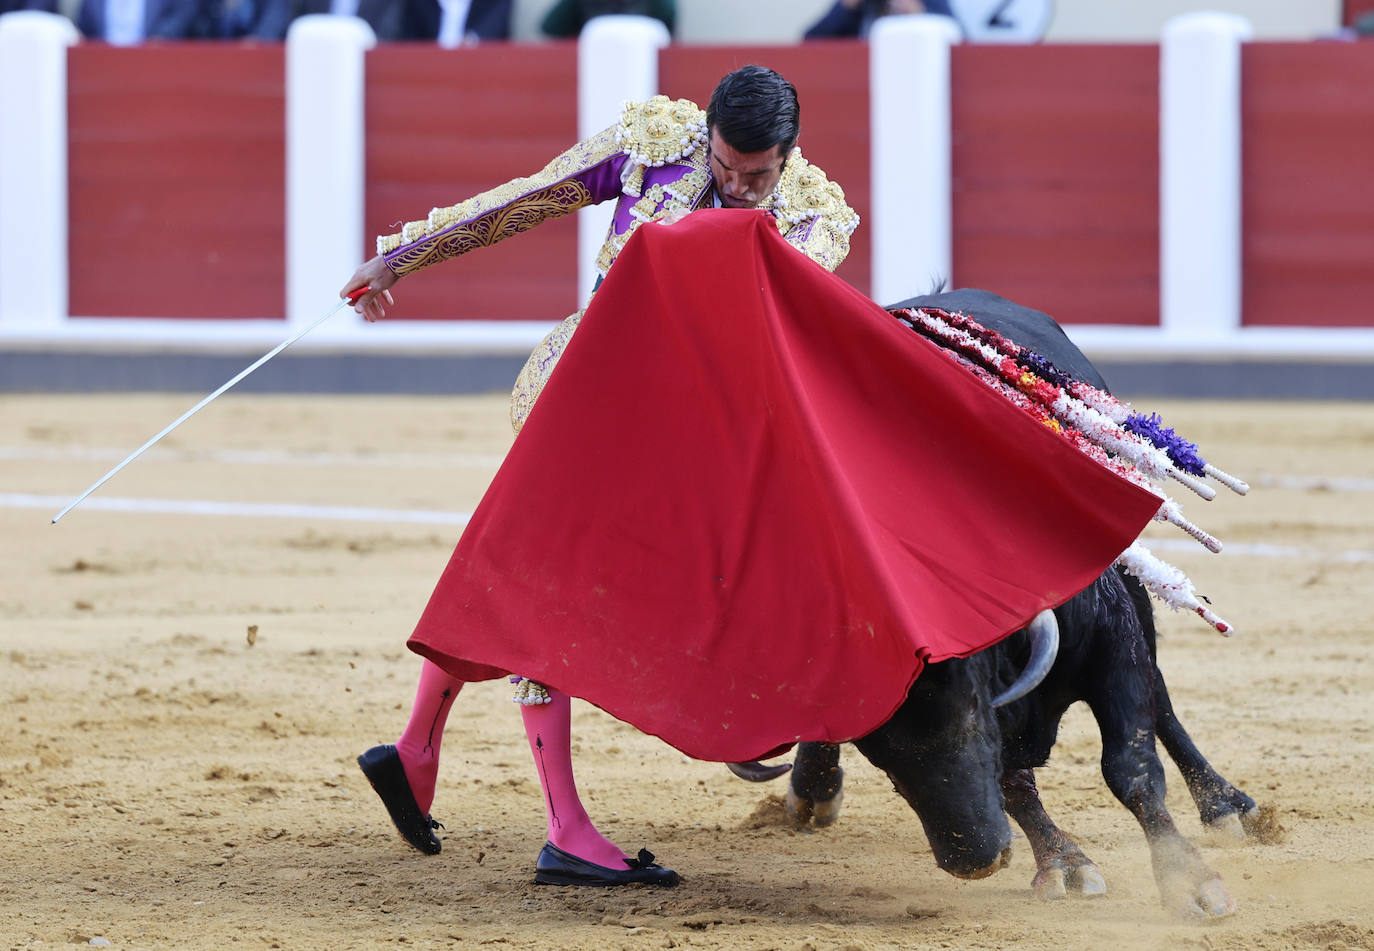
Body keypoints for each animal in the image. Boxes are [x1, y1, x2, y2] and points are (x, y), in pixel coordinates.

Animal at [730, 289, 1264, 923]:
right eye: (876, 754)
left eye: (970, 712)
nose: (975, 860)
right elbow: (1014, 783)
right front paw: (1064, 864)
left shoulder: (1112, 643)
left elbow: (1132, 766)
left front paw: (1190, 883)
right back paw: (813, 787)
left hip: (1134, 584)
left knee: (1162, 701)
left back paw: (1227, 806)